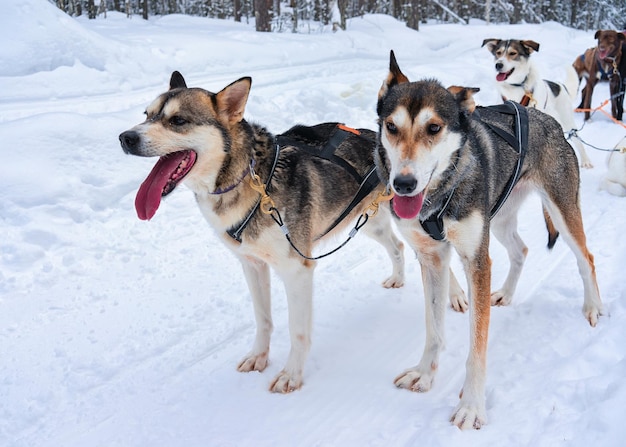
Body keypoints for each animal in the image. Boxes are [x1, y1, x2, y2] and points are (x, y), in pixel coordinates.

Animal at [118, 72, 404, 394]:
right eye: (147, 115)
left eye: (178, 120)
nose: (126, 137)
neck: (249, 178)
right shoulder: (252, 265)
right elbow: (263, 318)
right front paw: (259, 357)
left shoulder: (297, 270)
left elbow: (297, 331)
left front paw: (291, 374)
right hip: (368, 222)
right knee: (397, 247)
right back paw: (398, 279)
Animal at [370, 51, 600, 430]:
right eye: (391, 126)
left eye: (434, 128)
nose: (403, 183)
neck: (442, 192)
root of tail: (546, 118)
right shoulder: (433, 259)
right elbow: (434, 329)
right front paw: (425, 373)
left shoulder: (476, 260)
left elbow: (477, 347)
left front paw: (472, 406)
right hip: (500, 220)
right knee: (521, 249)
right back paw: (506, 293)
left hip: (562, 213)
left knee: (586, 258)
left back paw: (593, 307)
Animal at [482, 37, 588, 168]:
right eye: (498, 53)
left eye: (512, 53)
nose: (498, 65)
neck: (515, 87)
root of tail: (560, 85)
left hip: (567, 121)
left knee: (578, 140)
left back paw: (586, 160)